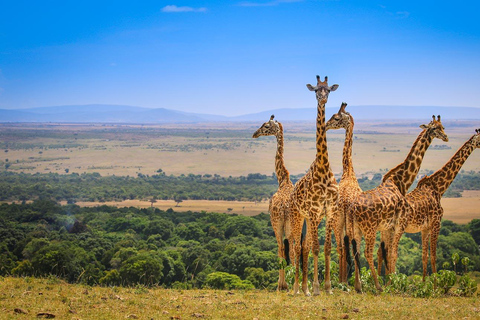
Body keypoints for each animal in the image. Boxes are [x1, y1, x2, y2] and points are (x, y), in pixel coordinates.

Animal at [253, 114, 298, 290]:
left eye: (266, 126)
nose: (255, 134)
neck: (283, 179)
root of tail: (284, 208)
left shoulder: (275, 223)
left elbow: (281, 250)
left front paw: (282, 284)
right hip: (293, 225)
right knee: (295, 249)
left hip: (278, 224)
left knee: (283, 249)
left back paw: (284, 284)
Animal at [346, 115, 448, 292]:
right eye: (435, 128)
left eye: (442, 126)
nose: (446, 137)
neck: (400, 182)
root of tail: (353, 209)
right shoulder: (398, 225)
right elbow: (393, 253)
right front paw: (392, 284)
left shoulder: (389, 227)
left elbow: (388, 253)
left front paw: (391, 281)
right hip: (370, 229)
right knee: (367, 252)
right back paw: (378, 286)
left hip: (356, 229)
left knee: (357, 251)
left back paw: (359, 287)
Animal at [376, 129, 480, 278]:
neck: (438, 188)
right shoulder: (436, 223)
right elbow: (433, 256)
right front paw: (435, 283)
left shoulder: (425, 228)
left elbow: (424, 256)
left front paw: (425, 281)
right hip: (394, 229)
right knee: (389, 252)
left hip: (386, 230)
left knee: (381, 252)